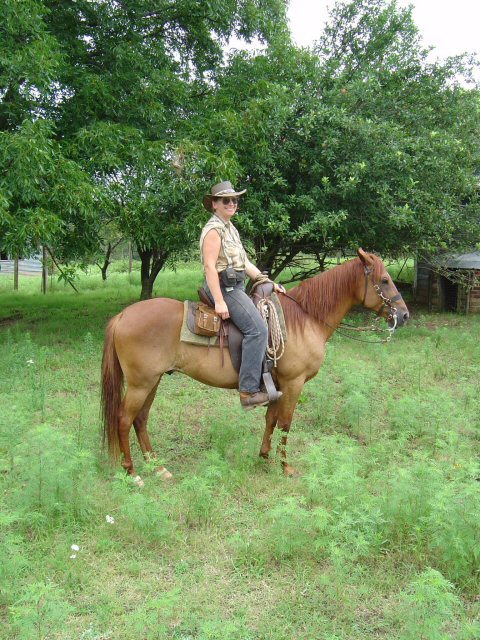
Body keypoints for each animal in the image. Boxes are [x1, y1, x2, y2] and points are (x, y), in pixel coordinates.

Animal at [100, 249, 408, 480]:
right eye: (384, 280)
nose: (404, 315)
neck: (305, 318)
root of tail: (122, 316)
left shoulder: (278, 385)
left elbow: (271, 420)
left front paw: (264, 457)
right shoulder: (294, 383)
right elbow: (285, 423)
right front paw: (285, 466)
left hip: (153, 380)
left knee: (140, 419)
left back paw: (158, 468)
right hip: (141, 384)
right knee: (124, 419)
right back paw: (133, 473)